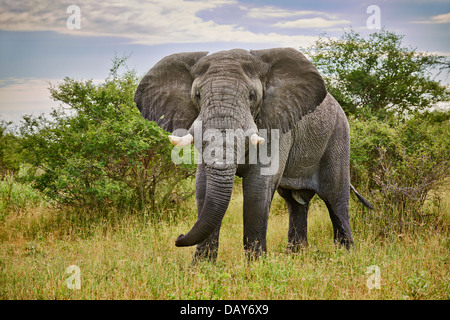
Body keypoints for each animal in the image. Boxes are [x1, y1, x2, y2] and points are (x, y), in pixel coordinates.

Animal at [134, 48, 372, 262]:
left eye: (252, 96)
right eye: (197, 95)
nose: (178, 237)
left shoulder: (276, 123)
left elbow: (258, 188)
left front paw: (256, 266)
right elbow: (202, 186)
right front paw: (201, 267)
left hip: (338, 137)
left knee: (335, 199)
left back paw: (345, 257)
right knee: (295, 203)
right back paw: (296, 257)